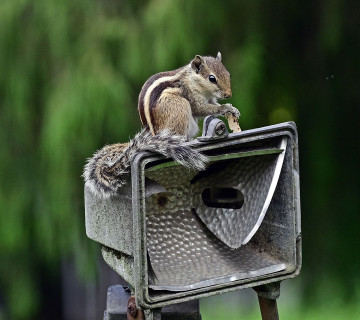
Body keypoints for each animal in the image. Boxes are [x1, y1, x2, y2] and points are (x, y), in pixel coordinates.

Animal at [83, 52, 240, 198]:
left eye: (228, 74)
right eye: (212, 78)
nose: (228, 94)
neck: (192, 80)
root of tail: (154, 134)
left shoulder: (209, 98)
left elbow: (213, 104)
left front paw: (232, 109)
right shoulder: (192, 96)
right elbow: (201, 109)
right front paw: (225, 108)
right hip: (179, 106)